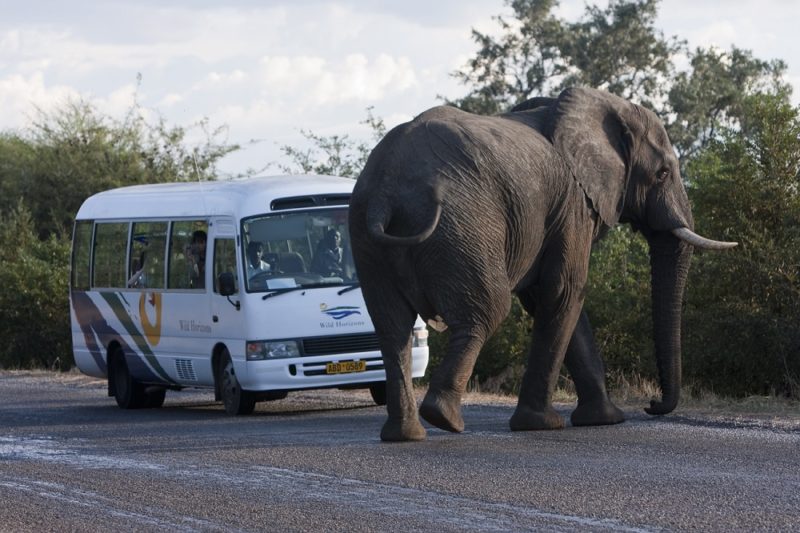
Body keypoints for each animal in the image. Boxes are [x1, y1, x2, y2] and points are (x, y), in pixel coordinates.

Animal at [346, 86, 736, 440]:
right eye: (663, 174)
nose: (652, 404)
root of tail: (385, 193)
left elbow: (555, 301)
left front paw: (604, 420)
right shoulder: (574, 204)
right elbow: (564, 290)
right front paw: (542, 425)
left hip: (366, 237)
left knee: (391, 327)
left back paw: (405, 434)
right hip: (461, 226)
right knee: (487, 310)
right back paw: (444, 419)